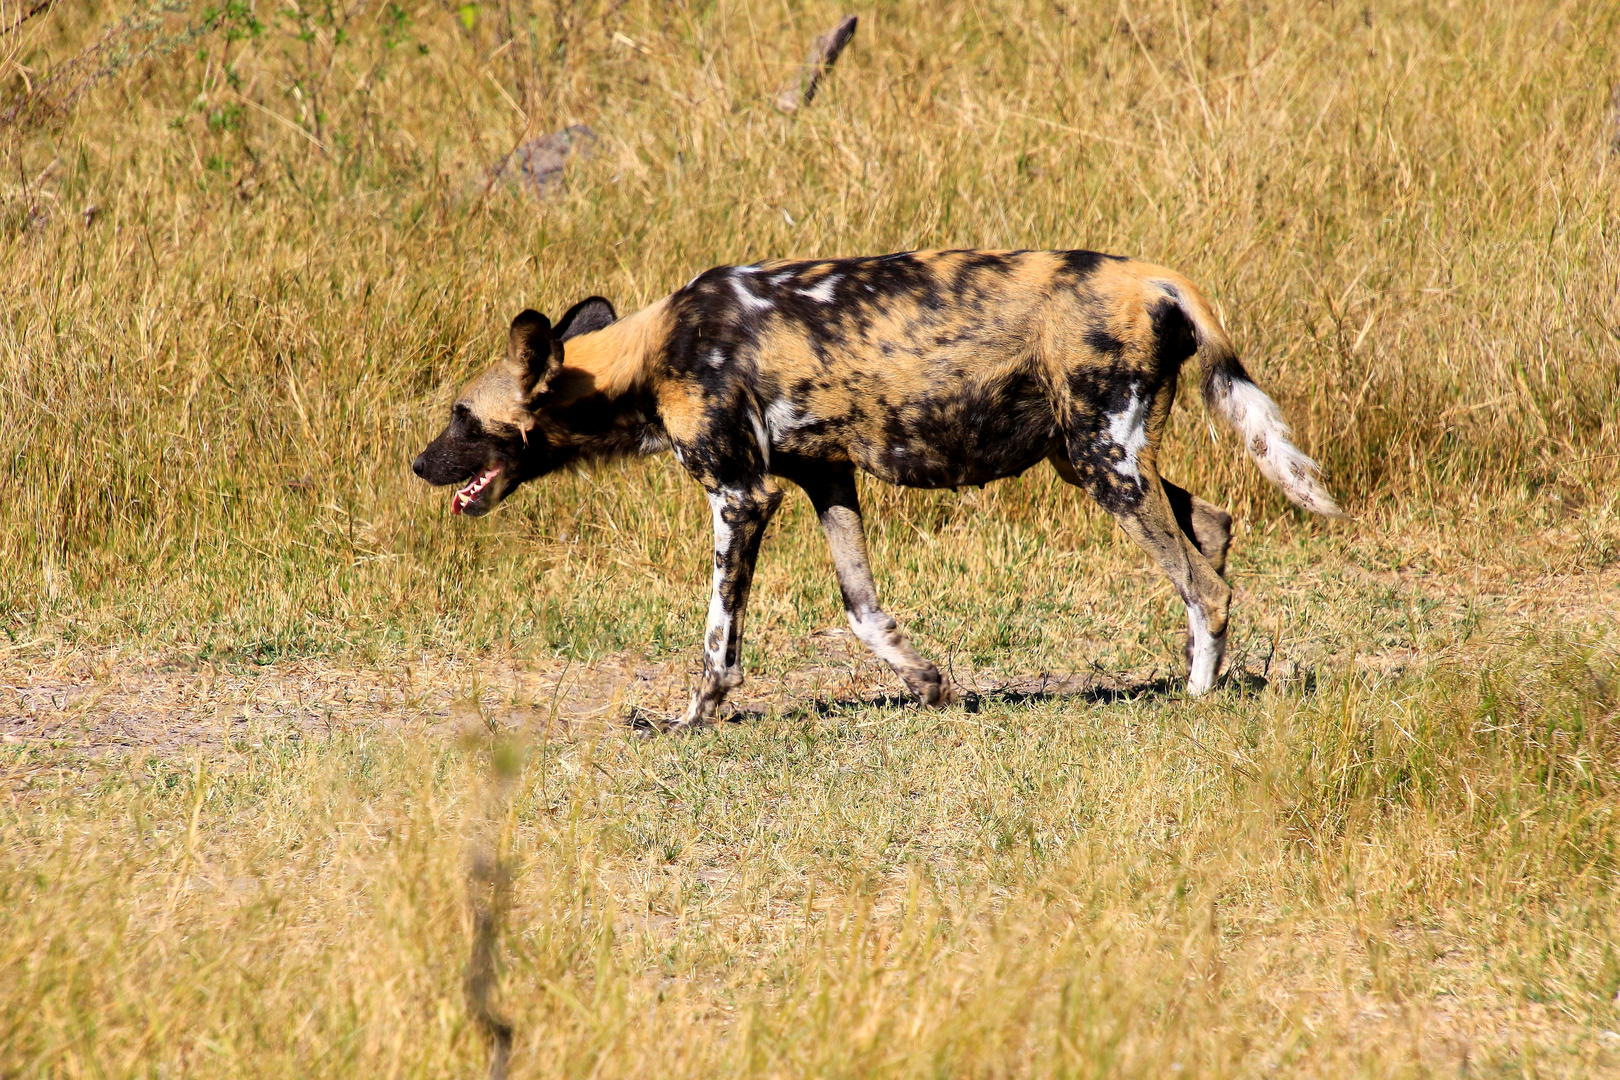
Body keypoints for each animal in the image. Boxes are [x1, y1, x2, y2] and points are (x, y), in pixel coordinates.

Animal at [414, 249, 1341, 731]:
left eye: (462, 417)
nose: (419, 466)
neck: (646, 359)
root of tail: (1158, 274)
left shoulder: (742, 496)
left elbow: (717, 640)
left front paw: (691, 720)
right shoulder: (825, 477)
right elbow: (863, 610)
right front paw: (931, 685)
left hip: (1101, 462)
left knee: (1204, 584)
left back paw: (1197, 694)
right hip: (1088, 456)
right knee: (1211, 527)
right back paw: (1202, 671)